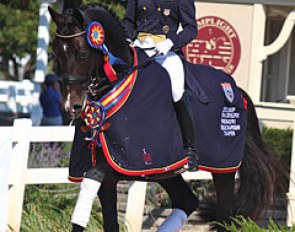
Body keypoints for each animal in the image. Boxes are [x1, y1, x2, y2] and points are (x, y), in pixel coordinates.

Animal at [48, 3, 290, 232]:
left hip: (224, 170)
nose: (71, 106)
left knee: (224, 217)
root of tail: (236, 90)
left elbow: (92, 178)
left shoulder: (126, 163)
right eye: (56, 51)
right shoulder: (118, 173)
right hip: (167, 169)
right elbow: (107, 221)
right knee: (187, 201)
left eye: (82, 53)